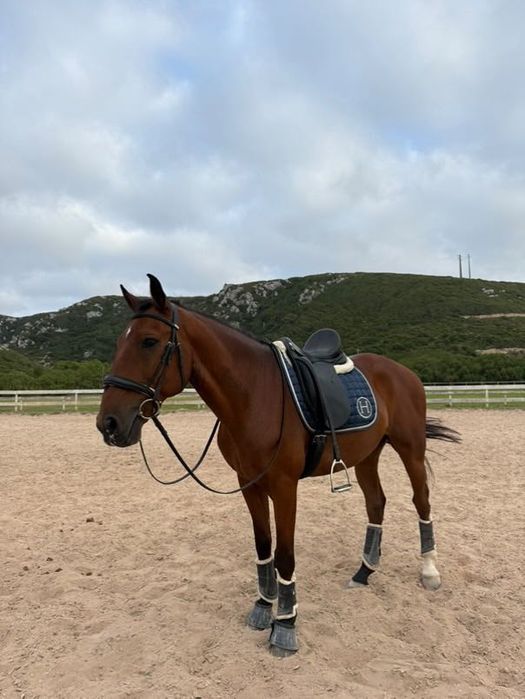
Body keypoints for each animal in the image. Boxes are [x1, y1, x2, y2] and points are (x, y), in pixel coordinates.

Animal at [96, 274, 460, 657]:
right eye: (120, 342)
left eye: (149, 341)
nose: (109, 424)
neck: (254, 395)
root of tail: (403, 372)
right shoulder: (249, 484)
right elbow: (263, 546)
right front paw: (262, 607)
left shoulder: (285, 487)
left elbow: (284, 553)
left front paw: (285, 626)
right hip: (367, 456)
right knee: (376, 504)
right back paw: (363, 573)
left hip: (410, 449)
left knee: (421, 501)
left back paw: (429, 572)